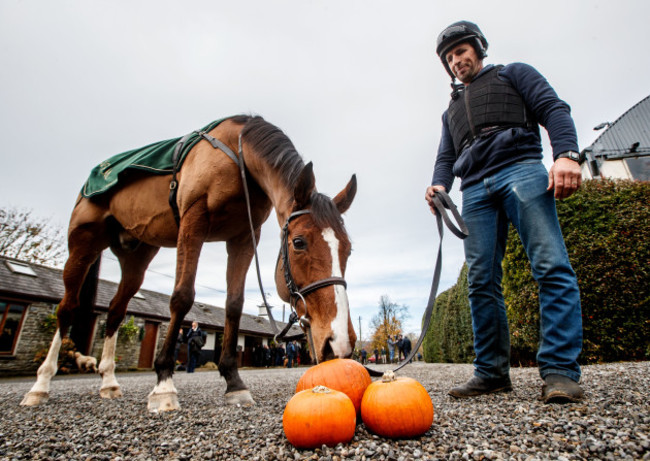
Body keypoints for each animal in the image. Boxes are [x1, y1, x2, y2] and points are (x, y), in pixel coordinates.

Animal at [20, 114, 356, 410]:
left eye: (348, 250)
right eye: (299, 243)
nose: (338, 342)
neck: (238, 158)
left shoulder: (244, 237)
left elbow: (234, 304)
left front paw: (234, 383)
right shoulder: (193, 221)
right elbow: (182, 297)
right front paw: (163, 384)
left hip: (136, 260)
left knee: (115, 313)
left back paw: (109, 382)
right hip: (82, 246)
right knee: (67, 308)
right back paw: (41, 385)